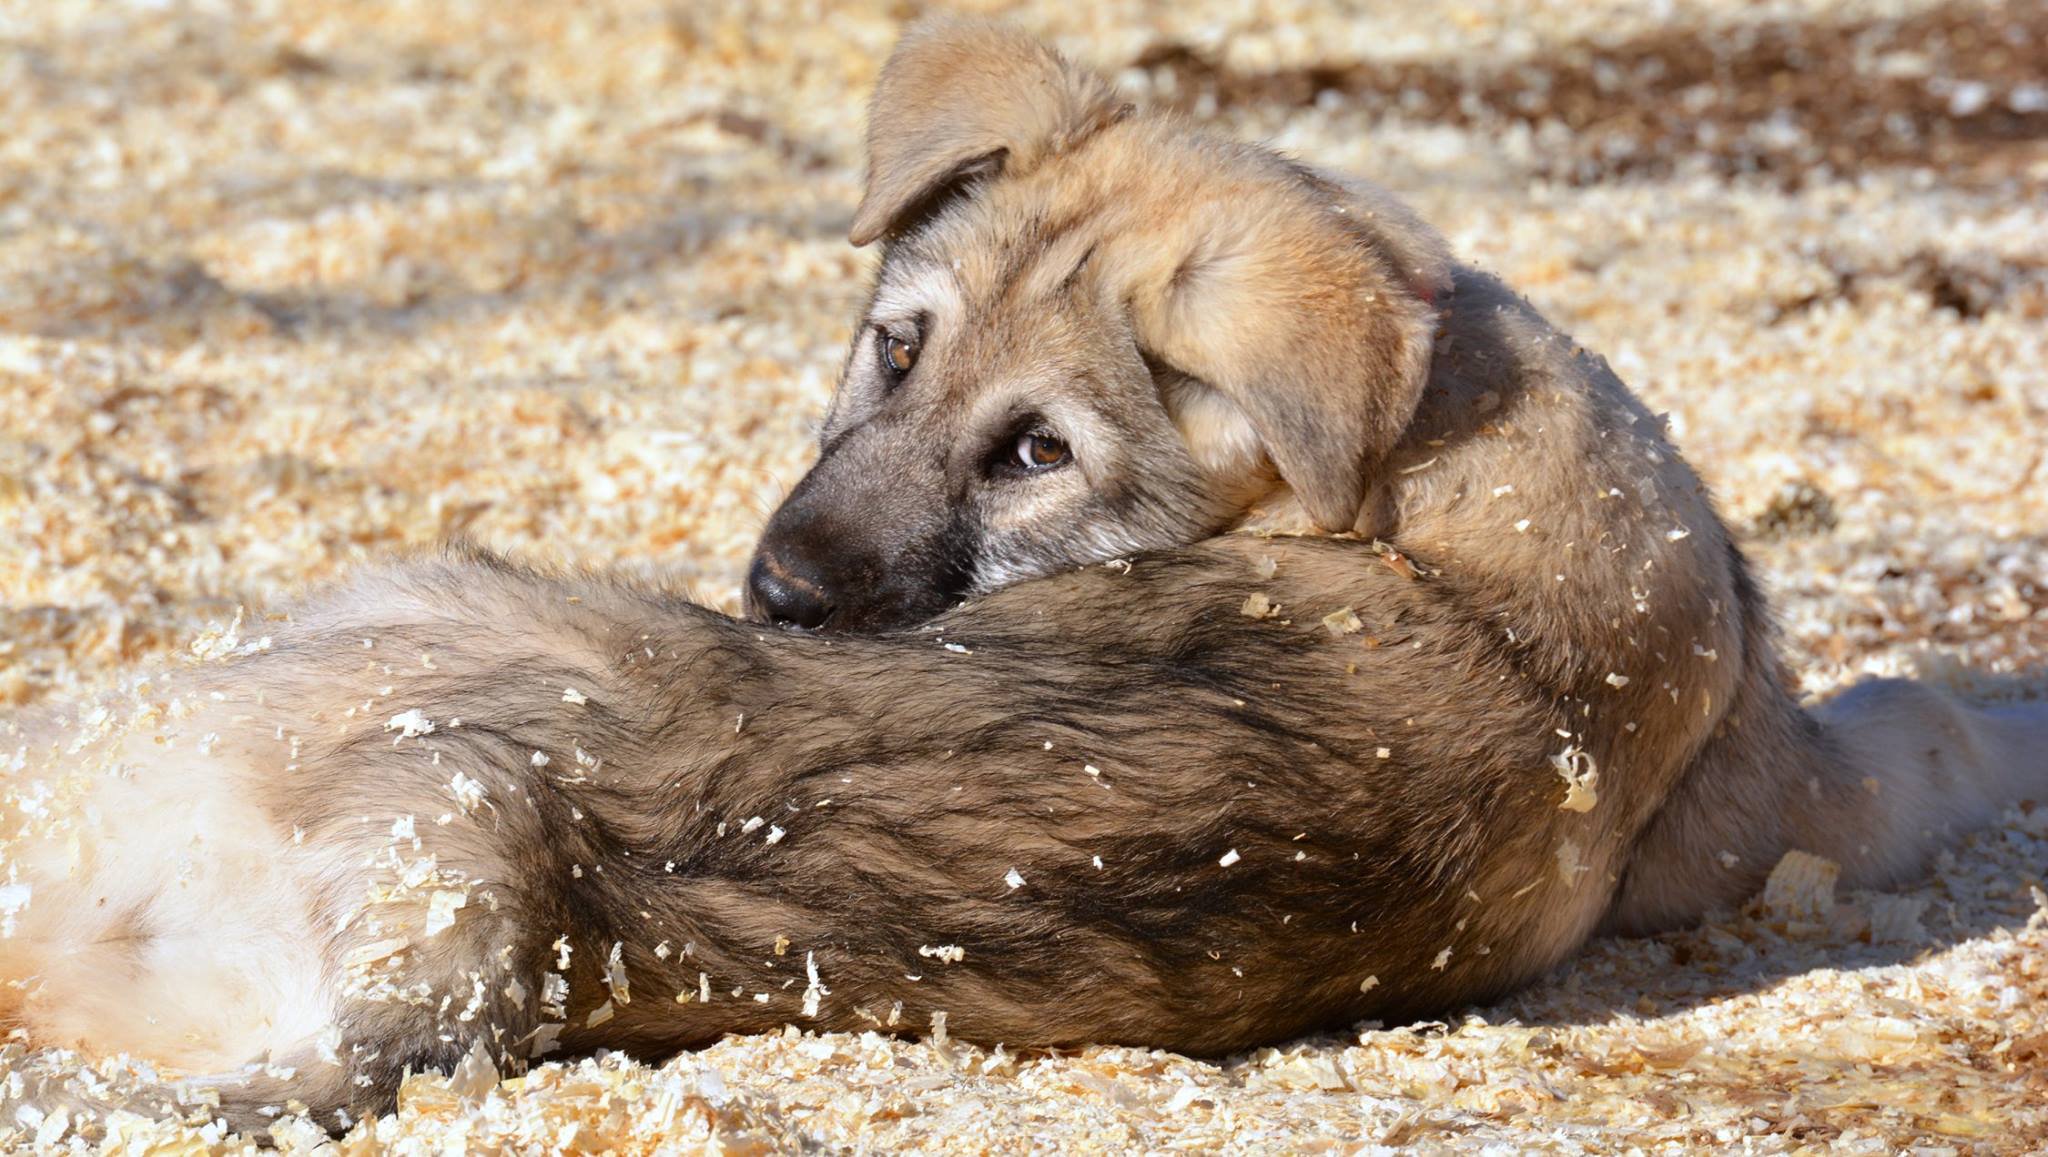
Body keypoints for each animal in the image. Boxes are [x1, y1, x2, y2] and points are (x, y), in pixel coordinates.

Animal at [4, 13, 2048, 1138]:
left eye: (1035, 456)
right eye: (891, 347)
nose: (779, 594)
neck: (1445, 471)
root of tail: (477, 911)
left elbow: (1919, 721)